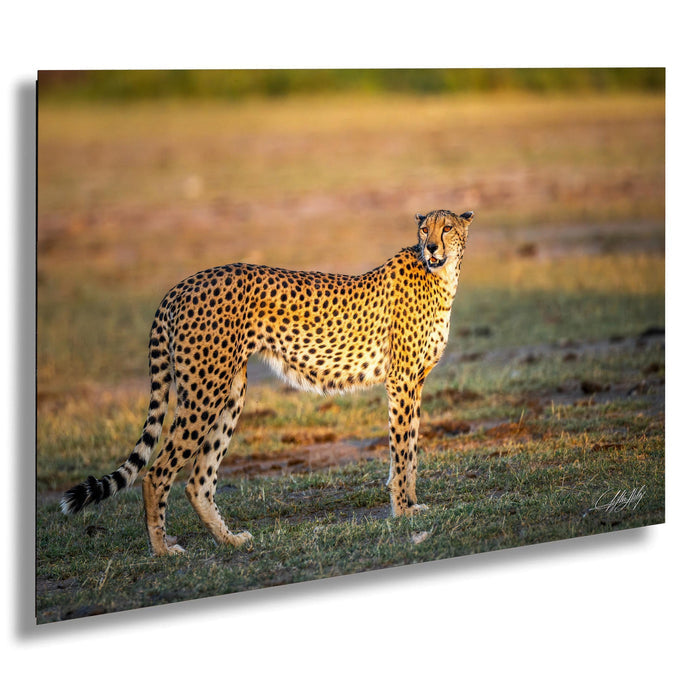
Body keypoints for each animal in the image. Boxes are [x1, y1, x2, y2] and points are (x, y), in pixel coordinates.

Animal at [61, 208, 474, 555]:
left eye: (446, 227)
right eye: (425, 228)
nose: (431, 247)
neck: (441, 277)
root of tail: (183, 284)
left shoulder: (414, 383)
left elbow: (411, 450)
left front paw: (410, 503)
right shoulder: (401, 381)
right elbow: (402, 451)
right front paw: (403, 511)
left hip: (230, 392)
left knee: (198, 481)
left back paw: (229, 540)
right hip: (204, 390)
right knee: (156, 473)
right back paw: (163, 550)